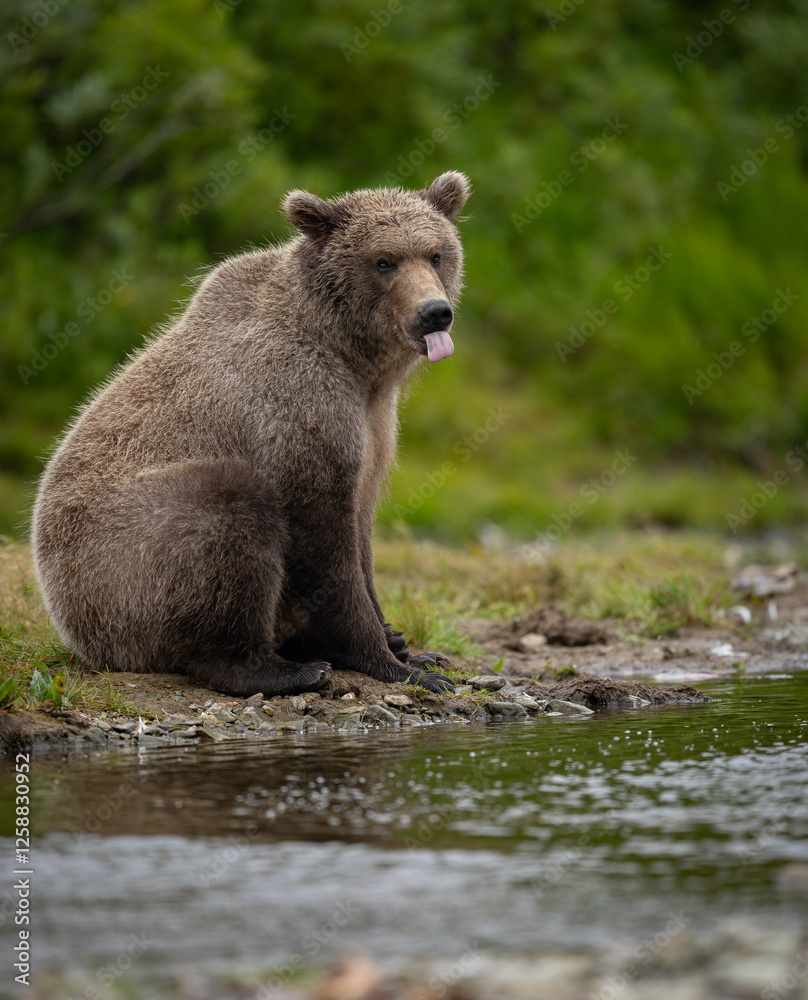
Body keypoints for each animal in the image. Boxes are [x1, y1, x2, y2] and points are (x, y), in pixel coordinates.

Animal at [31, 171, 471, 697]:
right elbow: (322, 538)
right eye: (383, 261)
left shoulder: (376, 426)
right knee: (229, 510)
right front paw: (392, 661)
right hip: (120, 558)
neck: (354, 359)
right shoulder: (296, 405)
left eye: (435, 254)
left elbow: (362, 530)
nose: (434, 312)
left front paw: (408, 645)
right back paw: (282, 667)